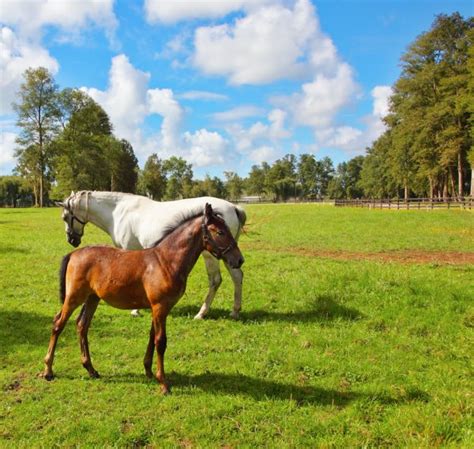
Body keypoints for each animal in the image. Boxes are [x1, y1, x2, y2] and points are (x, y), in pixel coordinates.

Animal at [42, 203, 244, 392]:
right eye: (220, 232)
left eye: (228, 229)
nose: (239, 260)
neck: (165, 261)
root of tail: (74, 253)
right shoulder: (160, 307)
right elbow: (161, 342)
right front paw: (163, 383)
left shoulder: (159, 308)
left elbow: (152, 336)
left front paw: (148, 371)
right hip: (74, 297)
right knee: (58, 323)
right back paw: (48, 371)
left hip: (92, 298)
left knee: (82, 325)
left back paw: (91, 369)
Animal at [56, 189, 248, 318]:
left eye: (65, 217)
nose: (72, 240)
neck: (118, 212)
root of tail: (233, 207)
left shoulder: (128, 249)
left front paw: (135, 310)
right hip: (228, 256)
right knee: (237, 276)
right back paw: (235, 311)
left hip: (212, 255)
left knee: (215, 280)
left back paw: (202, 313)